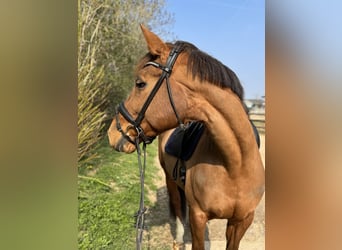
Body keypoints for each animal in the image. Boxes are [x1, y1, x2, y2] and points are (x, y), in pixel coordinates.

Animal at [107, 23, 264, 250]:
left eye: (140, 83)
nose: (113, 132)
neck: (235, 164)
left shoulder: (241, 221)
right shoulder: (199, 217)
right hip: (170, 180)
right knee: (178, 209)